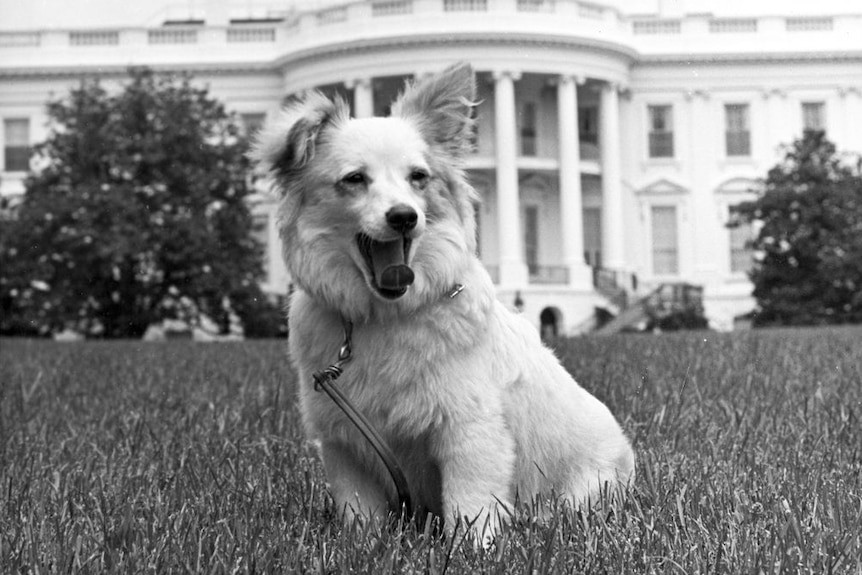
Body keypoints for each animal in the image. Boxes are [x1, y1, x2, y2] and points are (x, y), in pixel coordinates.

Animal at [250, 63, 636, 544]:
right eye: (354, 179)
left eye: (418, 177)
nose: (404, 217)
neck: (384, 316)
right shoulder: (344, 443)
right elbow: (360, 515)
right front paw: (363, 546)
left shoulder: (471, 433)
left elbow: (470, 508)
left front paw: (473, 549)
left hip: (587, 486)